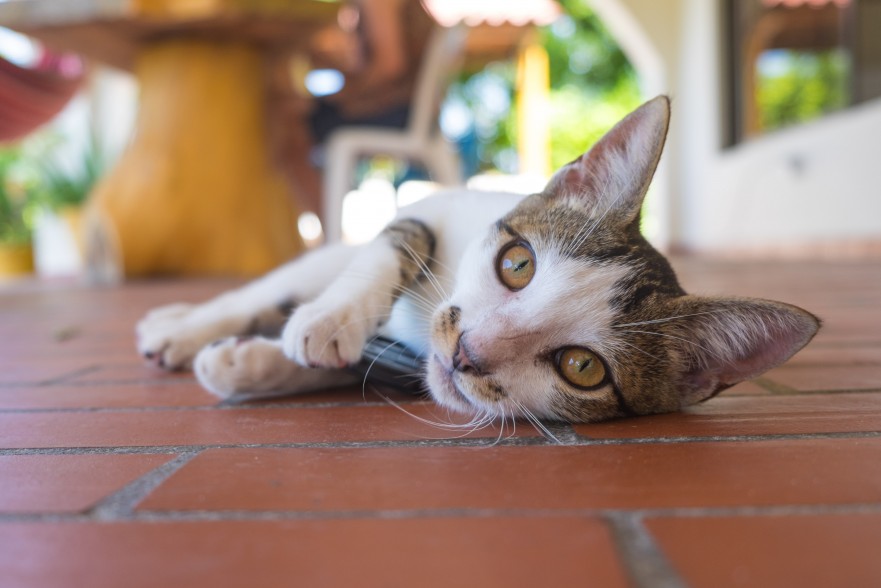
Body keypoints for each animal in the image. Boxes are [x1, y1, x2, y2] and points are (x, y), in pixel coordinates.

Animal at [136, 99, 820, 424]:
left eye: (583, 368)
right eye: (518, 264)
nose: (467, 353)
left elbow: (379, 367)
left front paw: (250, 366)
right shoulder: (436, 204)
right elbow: (392, 244)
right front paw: (330, 322)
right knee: (263, 289)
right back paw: (178, 325)